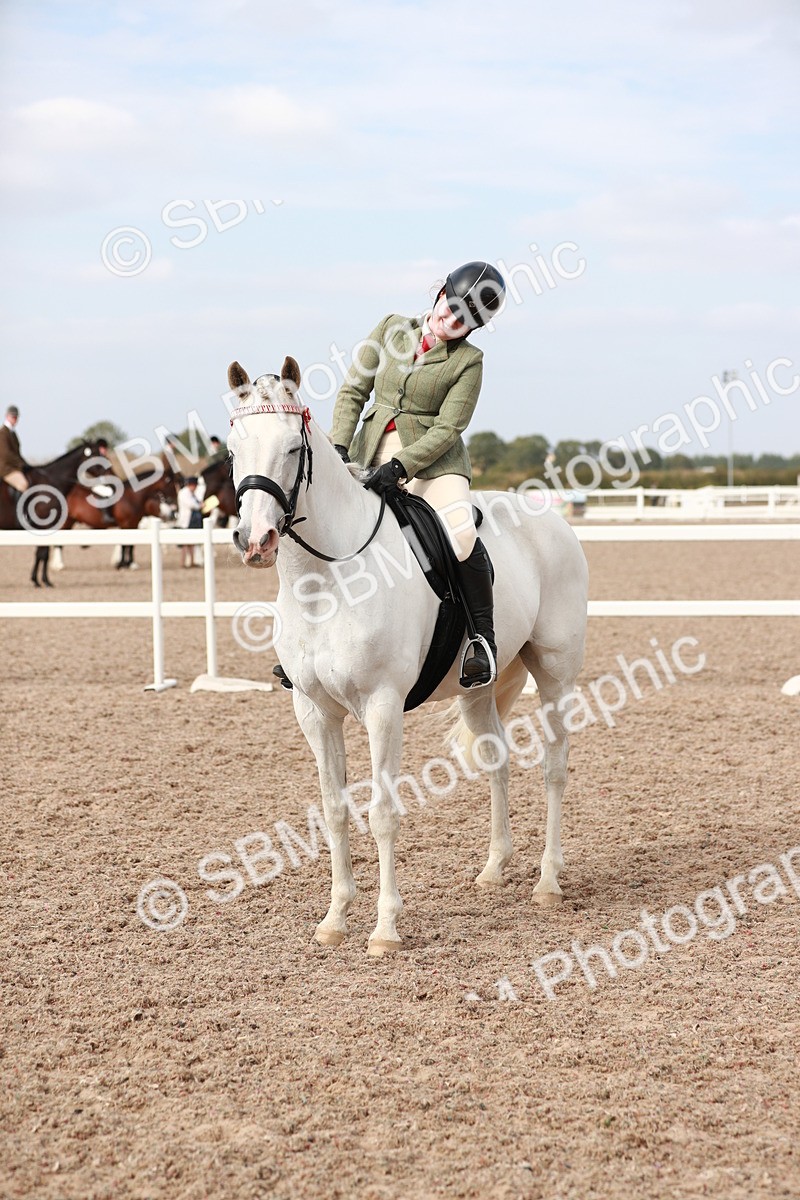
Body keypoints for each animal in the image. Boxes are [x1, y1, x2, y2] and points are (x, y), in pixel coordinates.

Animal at [227, 358, 588, 956]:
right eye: (233, 449)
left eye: (293, 448)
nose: (256, 541)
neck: (326, 580)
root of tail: (552, 519)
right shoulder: (313, 711)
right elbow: (334, 809)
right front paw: (335, 918)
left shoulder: (382, 707)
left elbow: (382, 813)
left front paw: (385, 929)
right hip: (477, 690)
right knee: (497, 761)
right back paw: (494, 869)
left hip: (556, 672)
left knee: (554, 767)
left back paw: (548, 881)